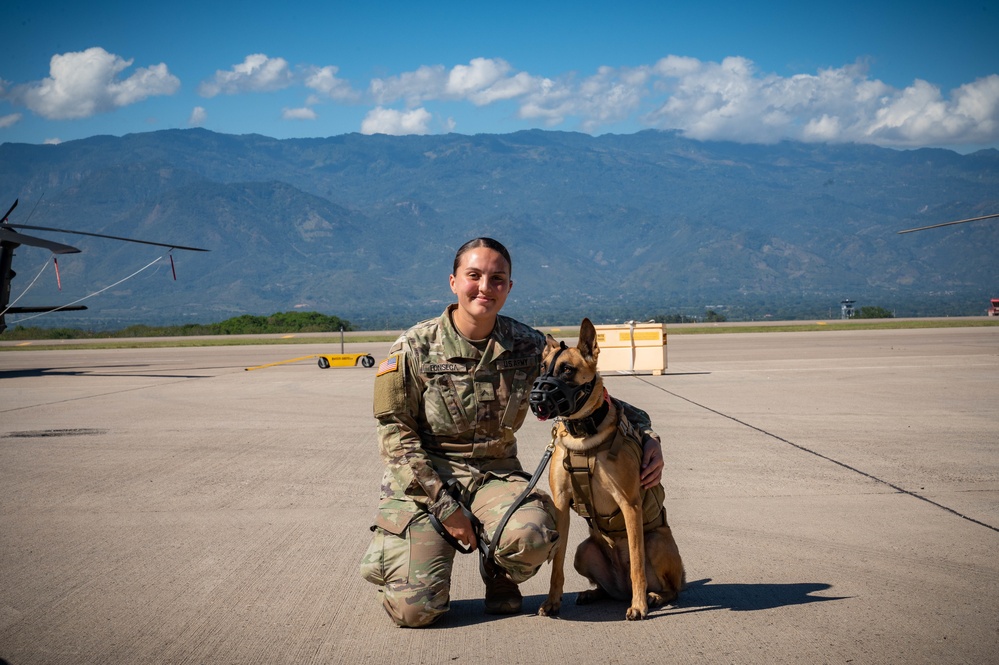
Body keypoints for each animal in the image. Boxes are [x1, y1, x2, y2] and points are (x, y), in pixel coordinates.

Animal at [540, 320, 688, 620]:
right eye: (543, 366)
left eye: (567, 369)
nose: (537, 398)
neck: (583, 434)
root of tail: (620, 589)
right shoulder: (561, 505)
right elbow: (556, 562)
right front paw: (552, 601)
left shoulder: (629, 504)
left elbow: (637, 563)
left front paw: (639, 605)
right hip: (583, 550)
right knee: (605, 588)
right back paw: (593, 593)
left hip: (656, 541)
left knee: (670, 588)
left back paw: (653, 596)